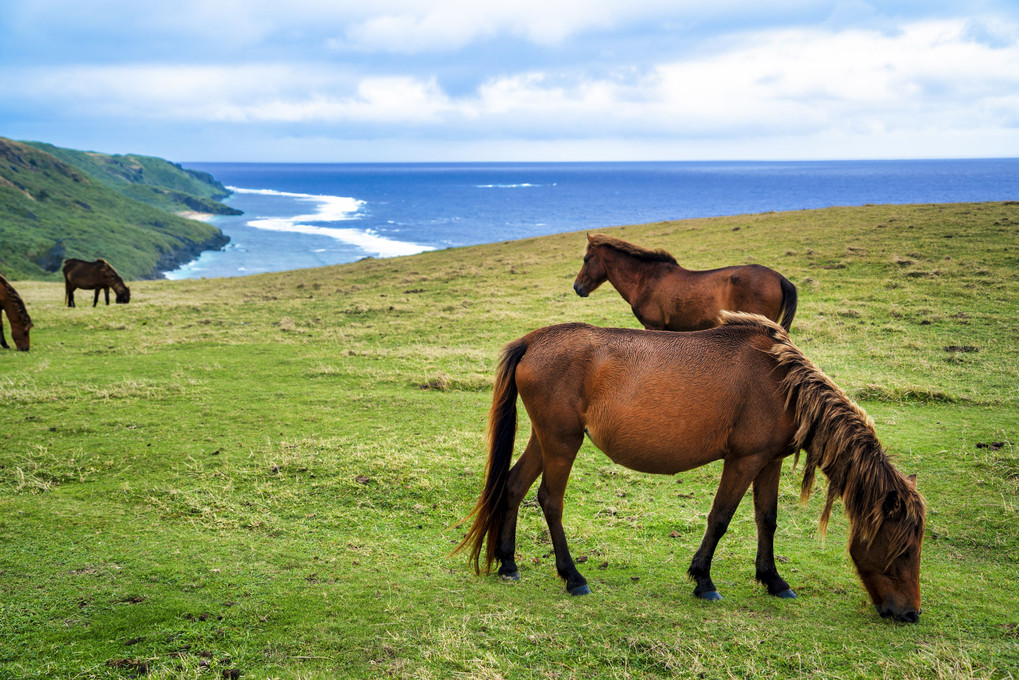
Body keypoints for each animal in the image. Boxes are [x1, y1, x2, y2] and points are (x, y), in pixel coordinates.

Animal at [454, 314, 925, 623]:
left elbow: (767, 520)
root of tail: (533, 341)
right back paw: (573, 577)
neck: (782, 383)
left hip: (546, 438)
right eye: (904, 549)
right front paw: (704, 581)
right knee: (550, 501)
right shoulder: (743, 460)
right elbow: (720, 518)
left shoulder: (768, 461)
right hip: (562, 442)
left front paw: (773, 580)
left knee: (513, 487)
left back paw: (509, 565)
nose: (910, 614)